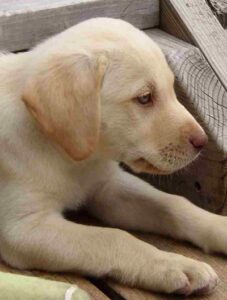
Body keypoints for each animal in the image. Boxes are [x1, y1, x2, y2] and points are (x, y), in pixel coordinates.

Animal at [0, 18, 224, 296]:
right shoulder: (23, 228)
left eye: (171, 89)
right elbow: (113, 237)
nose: (202, 142)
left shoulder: (107, 186)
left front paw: (221, 227)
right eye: (144, 98)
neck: (73, 158)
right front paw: (175, 265)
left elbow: (173, 204)